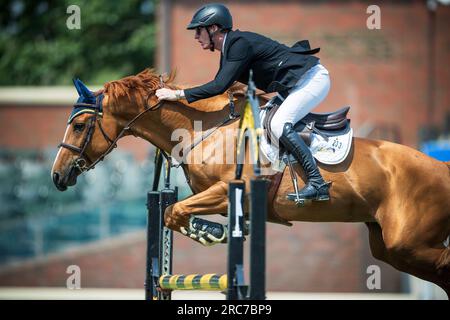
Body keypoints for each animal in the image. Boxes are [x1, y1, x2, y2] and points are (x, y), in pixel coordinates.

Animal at [52, 69, 450, 296]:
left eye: (80, 125)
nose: (57, 176)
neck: (204, 129)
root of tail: (442, 168)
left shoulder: (225, 193)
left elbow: (175, 213)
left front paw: (211, 233)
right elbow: (172, 213)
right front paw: (211, 231)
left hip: (407, 243)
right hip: (391, 248)